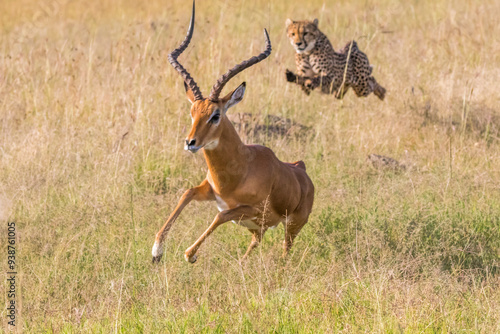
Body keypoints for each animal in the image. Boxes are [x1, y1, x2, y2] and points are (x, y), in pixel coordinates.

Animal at [152, 1, 314, 264]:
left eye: (215, 115)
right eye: (192, 111)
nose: (190, 142)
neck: (241, 169)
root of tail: (301, 169)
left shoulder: (250, 209)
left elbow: (220, 216)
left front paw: (190, 254)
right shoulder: (210, 191)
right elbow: (186, 193)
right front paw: (156, 251)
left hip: (290, 226)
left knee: (285, 250)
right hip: (258, 227)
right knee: (256, 241)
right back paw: (242, 263)